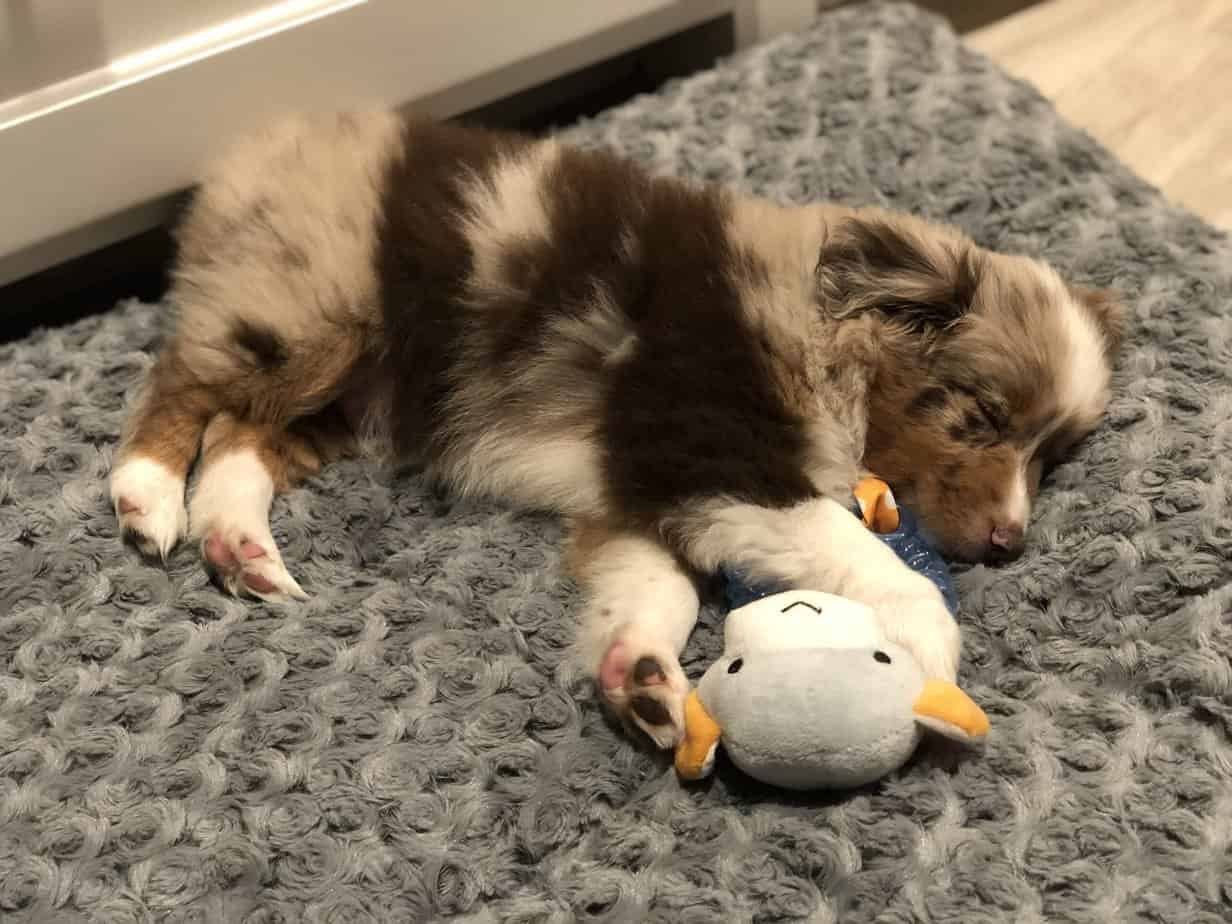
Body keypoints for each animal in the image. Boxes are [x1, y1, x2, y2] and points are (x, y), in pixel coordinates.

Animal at [110, 113, 1123, 753]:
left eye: (1053, 456)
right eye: (982, 417)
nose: (1011, 543)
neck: (819, 328)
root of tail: (250, 154)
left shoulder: (641, 488)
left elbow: (655, 588)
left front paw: (641, 678)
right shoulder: (710, 452)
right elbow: (864, 556)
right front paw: (927, 652)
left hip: (358, 396)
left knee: (241, 433)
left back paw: (240, 548)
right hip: (307, 318)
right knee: (185, 382)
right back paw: (147, 497)